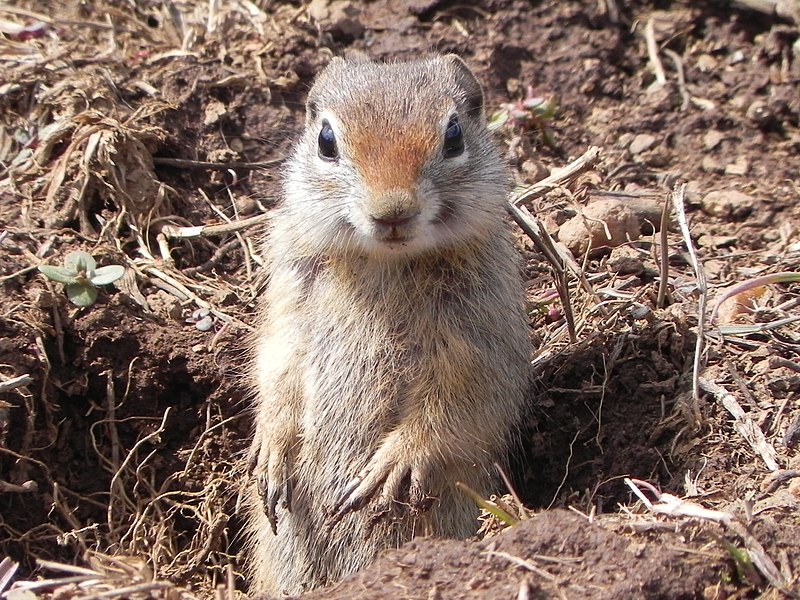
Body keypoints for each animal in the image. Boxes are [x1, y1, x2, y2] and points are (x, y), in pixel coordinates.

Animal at [244, 52, 532, 596]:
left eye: (454, 135)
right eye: (326, 140)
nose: (392, 212)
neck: (386, 262)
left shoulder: (480, 329)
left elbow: (461, 400)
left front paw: (394, 464)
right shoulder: (289, 296)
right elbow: (278, 368)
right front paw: (270, 449)